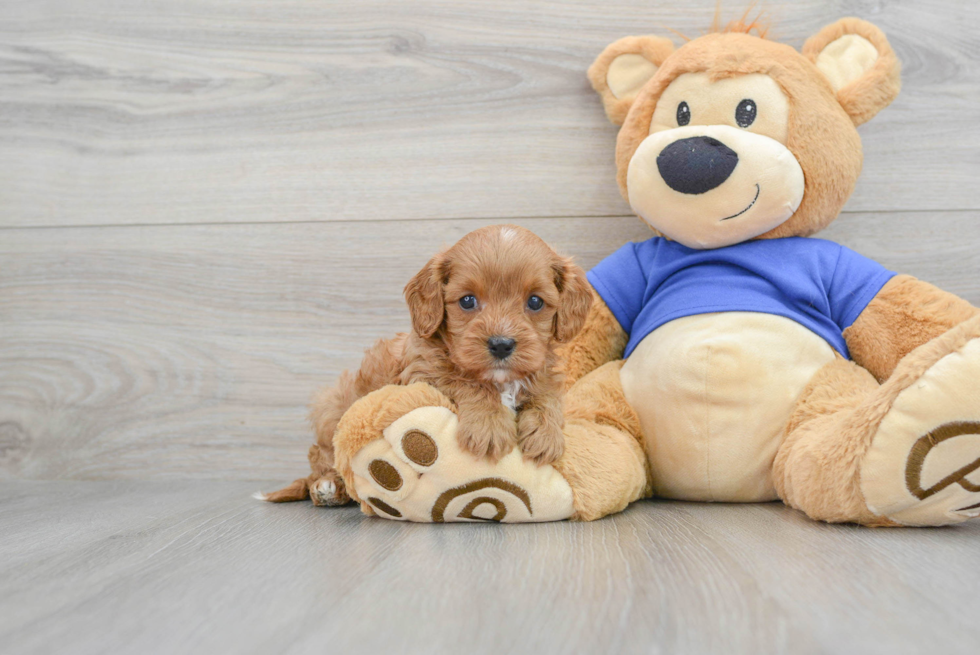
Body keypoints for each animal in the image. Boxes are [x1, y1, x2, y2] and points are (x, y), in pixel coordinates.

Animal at [260, 226, 588, 508]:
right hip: (332, 406)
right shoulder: (422, 374)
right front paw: (490, 426)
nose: (501, 344)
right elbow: (467, 382)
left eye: (535, 302)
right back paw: (327, 487)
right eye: (467, 301)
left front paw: (546, 435)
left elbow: (547, 396)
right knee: (321, 456)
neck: (500, 380)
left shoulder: (542, 372)